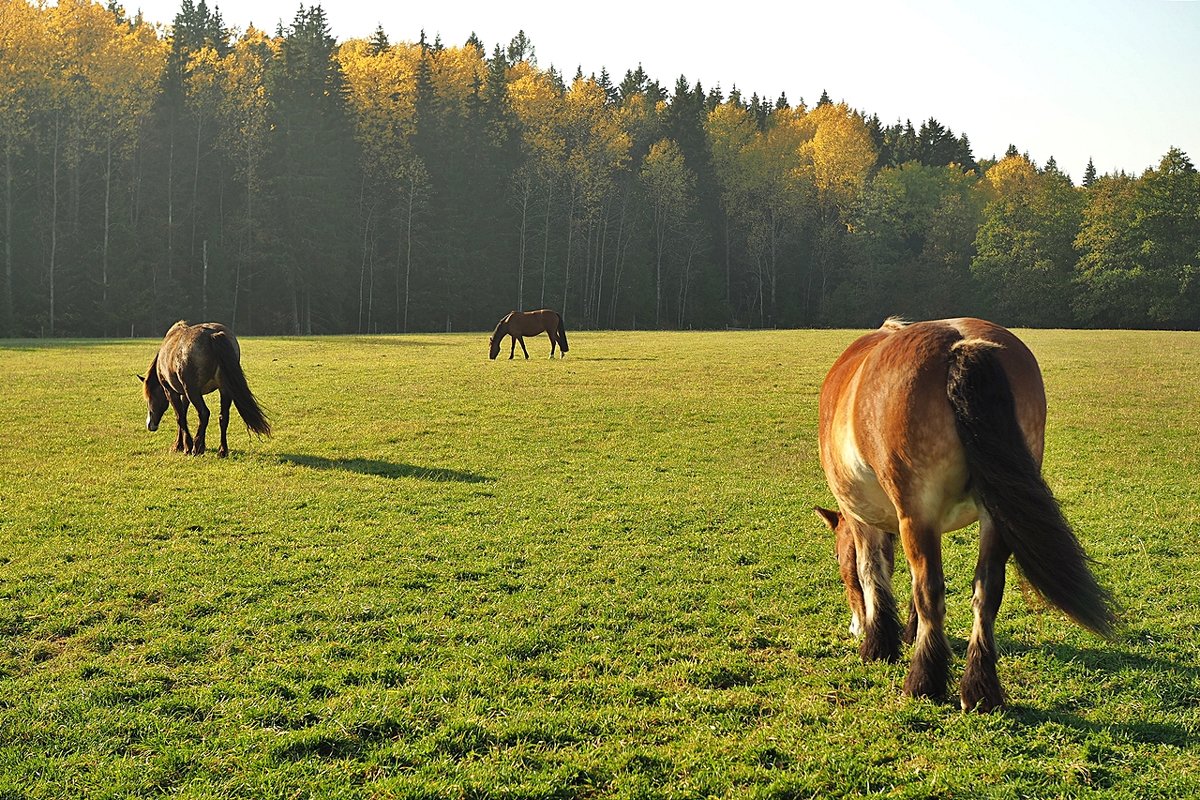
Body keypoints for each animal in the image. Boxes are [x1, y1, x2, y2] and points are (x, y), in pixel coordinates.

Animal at [140, 319, 272, 455]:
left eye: (149, 399)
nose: (150, 425)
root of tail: (212, 335)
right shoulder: (184, 394)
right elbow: (183, 414)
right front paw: (181, 444)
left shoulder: (171, 391)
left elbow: (179, 417)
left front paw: (184, 446)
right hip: (224, 389)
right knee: (223, 416)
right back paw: (222, 450)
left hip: (193, 391)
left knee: (204, 413)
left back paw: (197, 447)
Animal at [816, 316, 1113, 710]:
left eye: (837, 557)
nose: (855, 626)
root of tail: (961, 344)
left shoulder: (865, 519)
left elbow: (871, 572)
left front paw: (878, 645)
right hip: (994, 517)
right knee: (987, 590)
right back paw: (980, 689)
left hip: (918, 512)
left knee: (929, 588)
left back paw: (923, 682)